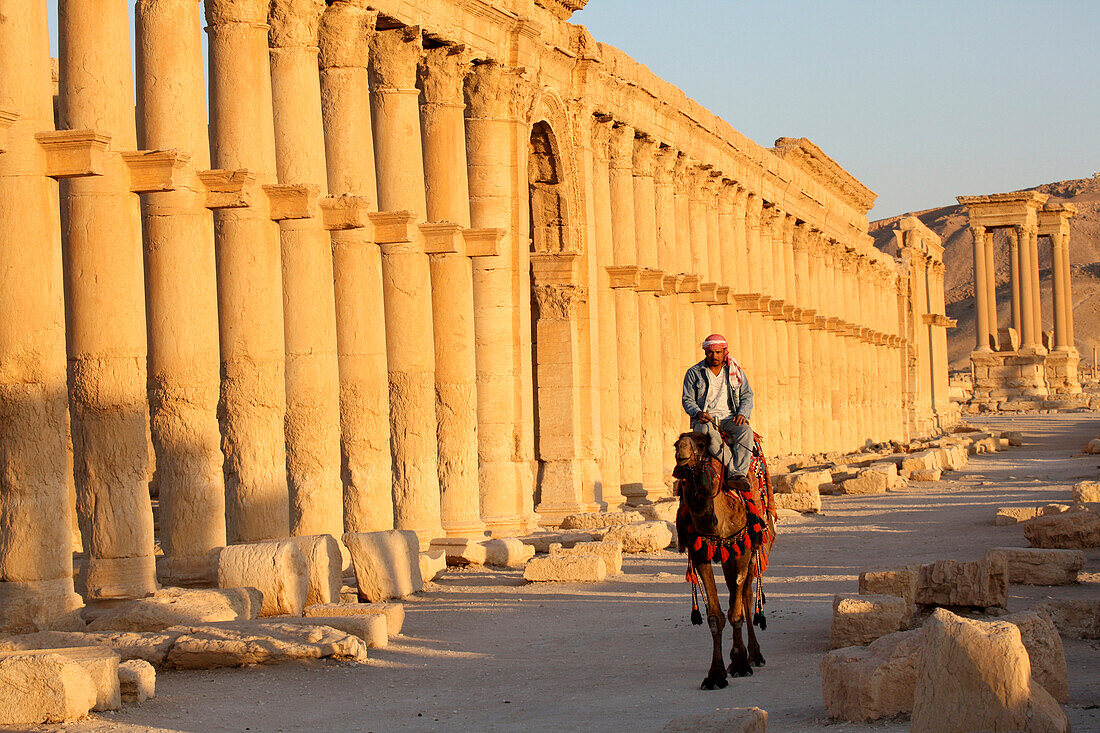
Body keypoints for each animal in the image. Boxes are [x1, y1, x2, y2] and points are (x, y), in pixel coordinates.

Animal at [668, 431, 774, 686]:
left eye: (702, 445)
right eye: (676, 443)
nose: (681, 451)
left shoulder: (742, 547)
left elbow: (736, 610)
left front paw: (740, 664)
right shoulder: (700, 553)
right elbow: (715, 616)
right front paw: (715, 674)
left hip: (753, 548)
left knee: (746, 596)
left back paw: (755, 654)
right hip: (728, 558)